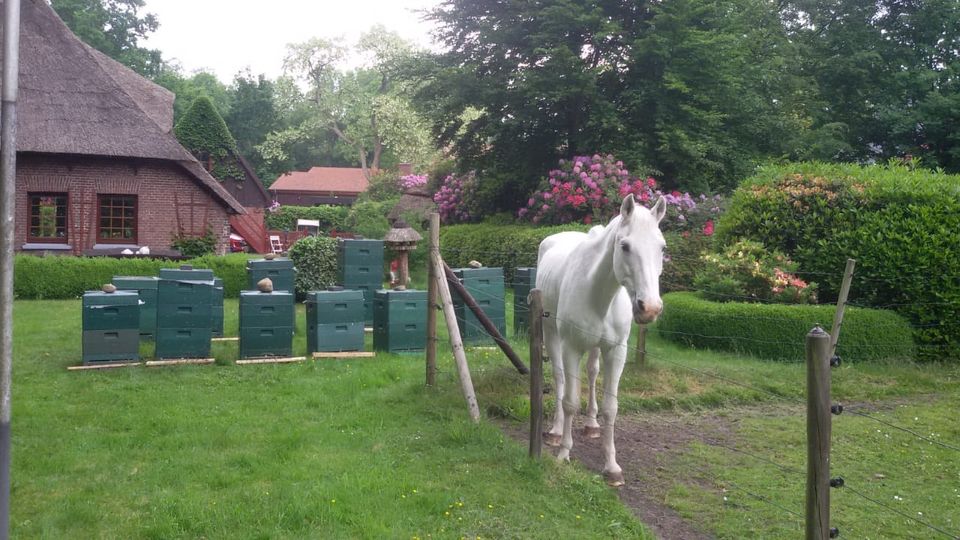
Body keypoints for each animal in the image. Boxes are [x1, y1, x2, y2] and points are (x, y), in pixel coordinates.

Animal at [536, 193, 664, 486]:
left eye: (662, 247)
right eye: (625, 246)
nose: (649, 308)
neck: (599, 292)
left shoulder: (616, 351)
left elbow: (611, 408)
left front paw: (612, 467)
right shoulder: (571, 348)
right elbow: (570, 401)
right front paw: (564, 454)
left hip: (595, 348)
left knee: (592, 373)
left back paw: (592, 425)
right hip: (552, 335)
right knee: (560, 380)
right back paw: (556, 431)